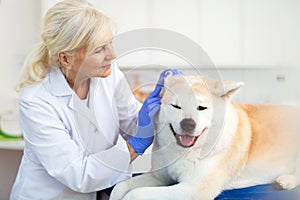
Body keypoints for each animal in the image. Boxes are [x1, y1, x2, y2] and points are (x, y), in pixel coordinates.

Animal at [110, 75, 300, 200]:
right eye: (176, 106)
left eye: (202, 107)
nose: (188, 124)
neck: (184, 152)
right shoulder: (159, 177)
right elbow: (120, 187)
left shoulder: (192, 189)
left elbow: (134, 194)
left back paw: (286, 181)